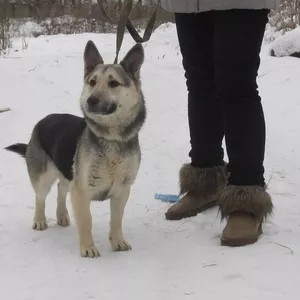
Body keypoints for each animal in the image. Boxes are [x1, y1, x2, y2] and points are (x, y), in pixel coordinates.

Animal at [4, 39, 146, 258]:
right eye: (92, 82)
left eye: (113, 83)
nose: (91, 101)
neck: (111, 138)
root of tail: (42, 121)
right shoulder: (81, 192)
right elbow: (86, 221)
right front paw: (88, 248)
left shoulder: (122, 191)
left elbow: (116, 220)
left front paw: (117, 242)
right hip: (43, 177)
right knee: (40, 197)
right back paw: (40, 220)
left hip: (66, 173)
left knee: (61, 190)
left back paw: (62, 215)